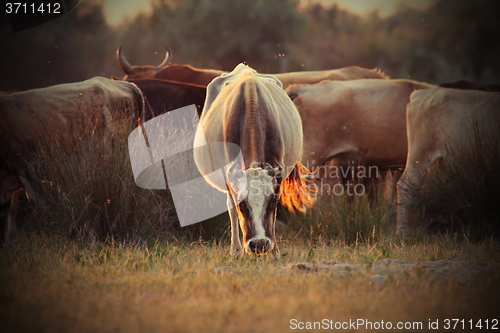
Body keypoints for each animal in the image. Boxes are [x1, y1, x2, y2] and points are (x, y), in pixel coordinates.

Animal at [193, 63, 314, 254]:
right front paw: (237, 250)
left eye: (271, 203)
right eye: (242, 204)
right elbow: (233, 208)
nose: (259, 244)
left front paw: (275, 251)